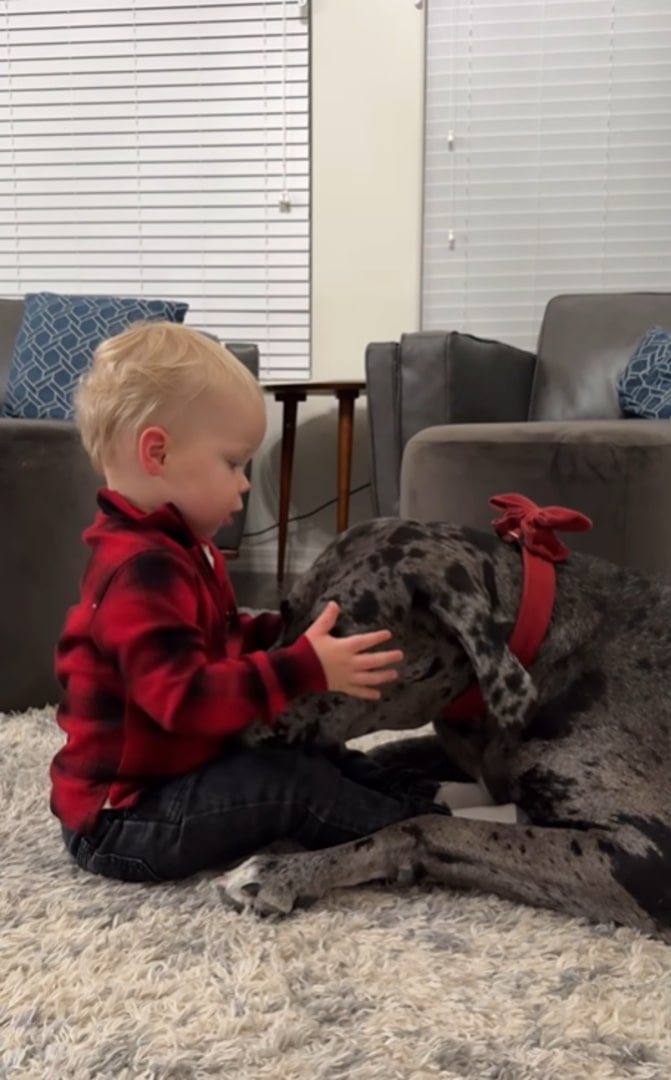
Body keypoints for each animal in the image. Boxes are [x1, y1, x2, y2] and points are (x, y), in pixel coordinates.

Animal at [217, 514, 665, 937]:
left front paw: (287, 870)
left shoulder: (643, 856)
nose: (228, 730)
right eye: (284, 613)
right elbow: (386, 754)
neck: (541, 654)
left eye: (342, 644)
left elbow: (422, 826)